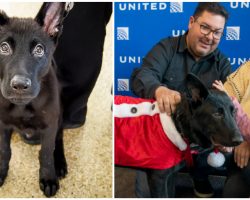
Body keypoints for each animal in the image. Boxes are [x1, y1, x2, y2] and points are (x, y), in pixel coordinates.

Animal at [0, 3, 67, 197]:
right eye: (4, 47)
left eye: (39, 50)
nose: (20, 85)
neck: (22, 106)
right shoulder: (3, 125)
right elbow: (4, 150)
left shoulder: (50, 125)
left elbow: (46, 154)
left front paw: (48, 178)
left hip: (60, 118)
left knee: (58, 139)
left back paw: (60, 163)